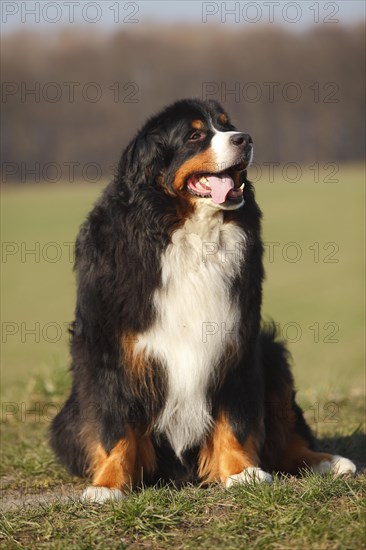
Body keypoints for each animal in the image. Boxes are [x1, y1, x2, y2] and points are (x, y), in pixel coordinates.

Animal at [50, 99, 356, 504]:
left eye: (227, 125)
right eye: (195, 135)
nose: (245, 139)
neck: (187, 232)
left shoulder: (235, 340)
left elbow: (237, 416)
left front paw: (242, 471)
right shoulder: (109, 348)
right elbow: (114, 424)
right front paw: (108, 485)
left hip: (271, 353)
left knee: (284, 436)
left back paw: (328, 462)